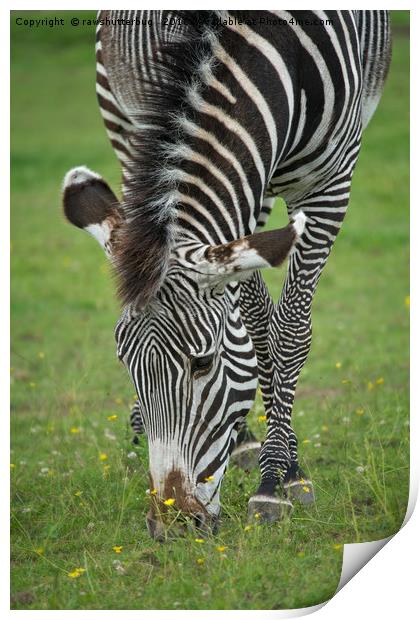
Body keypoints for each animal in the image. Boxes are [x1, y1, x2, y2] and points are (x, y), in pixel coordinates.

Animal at [61, 10, 390, 536]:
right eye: (123, 363)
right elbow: (255, 327)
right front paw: (272, 458)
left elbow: (288, 332)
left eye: (202, 363)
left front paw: (279, 479)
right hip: (126, 126)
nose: (172, 524)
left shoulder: (330, 181)